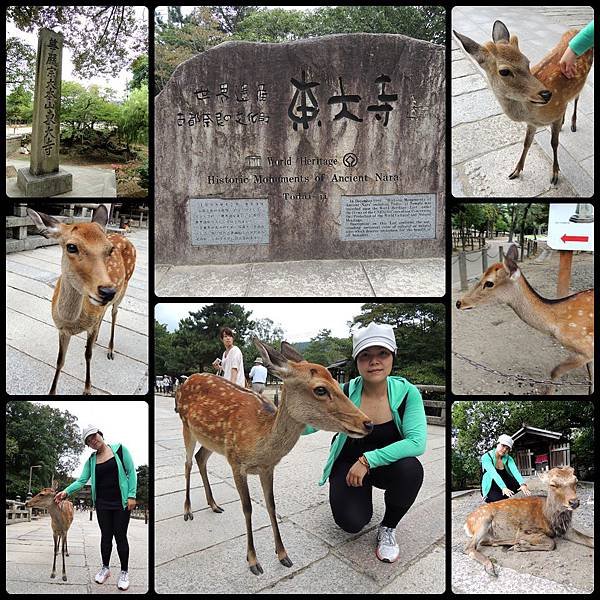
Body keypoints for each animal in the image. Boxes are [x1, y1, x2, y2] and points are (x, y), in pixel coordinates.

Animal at [26, 204, 136, 396]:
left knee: (114, 312)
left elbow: (88, 355)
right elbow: (60, 360)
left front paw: (87, 389)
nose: (107, 290)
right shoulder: (62, 329)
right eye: (71, 247)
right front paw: (51, 392)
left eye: (110, 250)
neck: (73, 322)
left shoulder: (89, 325)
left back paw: (110, 350)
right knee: (105, 312)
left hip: (124, 287)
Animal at [177, 340, 376, 576]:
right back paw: (188, 511)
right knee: (188, 462)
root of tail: (186, 381)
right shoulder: (236, 462)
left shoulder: (267, 467)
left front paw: (283, 555)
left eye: (337, 382)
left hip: (211, 441)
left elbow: (272, 506)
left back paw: (214, 504)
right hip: (186, 426)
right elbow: (247, 508)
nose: (368, 423)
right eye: (320, 389)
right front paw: (253, 561)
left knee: (200, 458)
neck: (259, 441)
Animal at [454, 19, 596, 184]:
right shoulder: (533, 123)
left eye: (527, 61)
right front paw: (516, 171)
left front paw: (555, 173)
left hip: (584, 79)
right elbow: (527, 142)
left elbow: (554, 143)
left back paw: (573, 124)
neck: (533, 113)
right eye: (504, 71)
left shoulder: (555, 110)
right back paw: (563, 122)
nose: (547, 94)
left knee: (577, 97)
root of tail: (576, 30)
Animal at [462, 464, 592, 576]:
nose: (574, 502)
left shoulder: (566, 529)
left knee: (485, 541)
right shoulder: (525, 530)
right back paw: (492, 565)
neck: (548, 518)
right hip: (483, 519)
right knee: (470, 547)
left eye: (575, 481)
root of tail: (467, 523)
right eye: (553, 484)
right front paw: (521, 546)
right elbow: (552, 543)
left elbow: (590, 540)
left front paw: (520, 545)